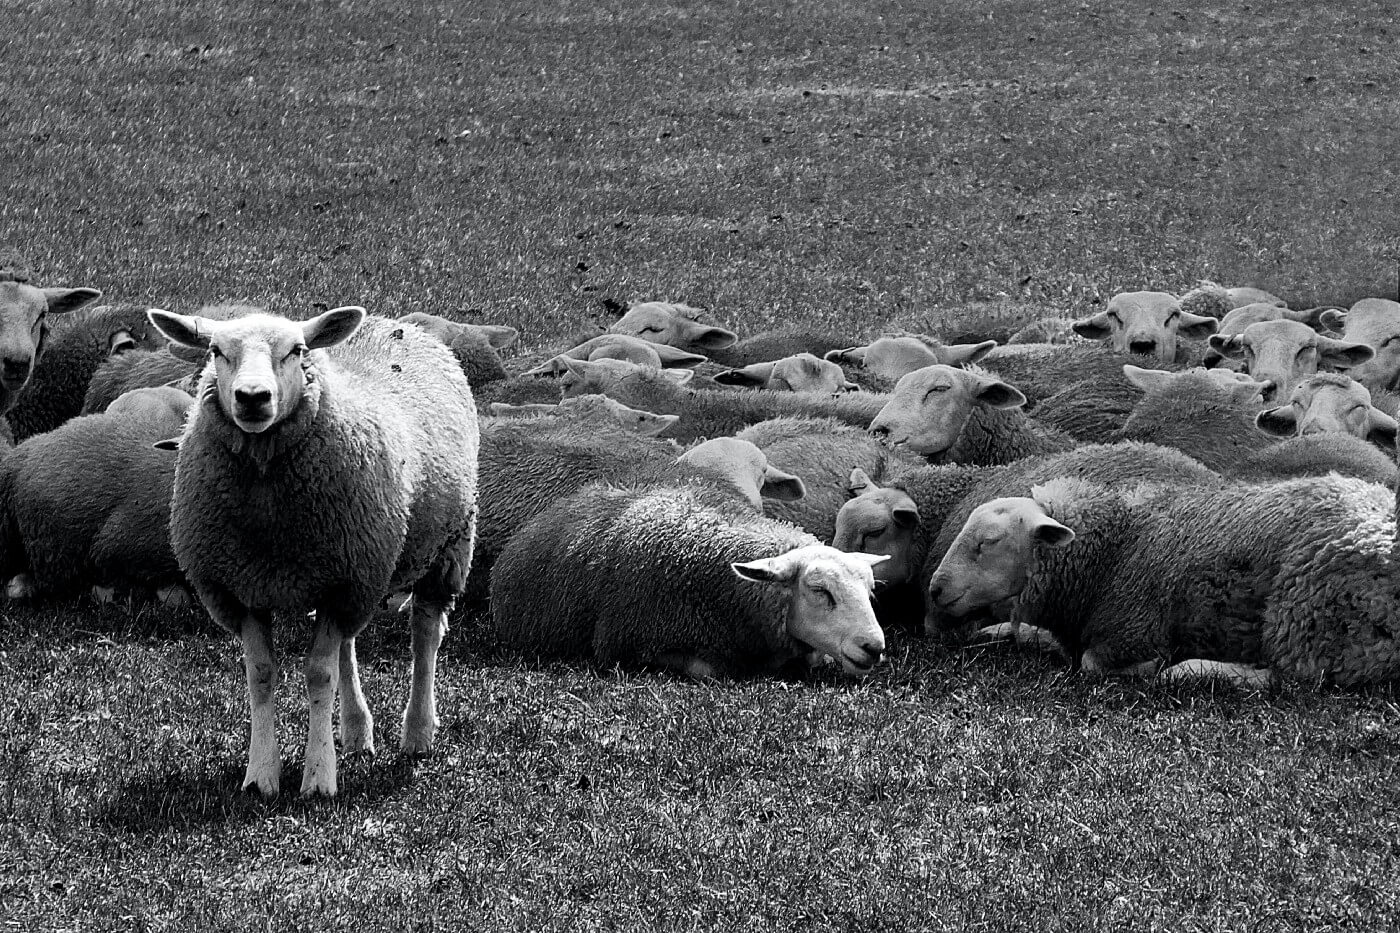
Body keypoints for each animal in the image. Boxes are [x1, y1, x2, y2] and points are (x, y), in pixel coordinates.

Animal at [147, 305, 479, 798]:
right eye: (216, 351)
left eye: (296, 350)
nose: (252, 397)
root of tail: (391, 322)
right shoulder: (245, 587)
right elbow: (262, 674)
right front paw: (261, 775)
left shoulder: (342, 582)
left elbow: (318, 674)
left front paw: (318, 777)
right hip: (355, 569)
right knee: (348, 646)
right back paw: (357, 732)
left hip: (445, 547)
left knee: (425, 637)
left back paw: (418, 734)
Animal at [926, 473, 1400, 687]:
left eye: (989, 542)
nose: (934, 589)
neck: (1112, 551)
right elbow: (1028, 634)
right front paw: (1001, 631)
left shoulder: (1135, 633)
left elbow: (1092, 663)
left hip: (1308, 621)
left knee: (1293, 679)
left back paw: (1197, 669)